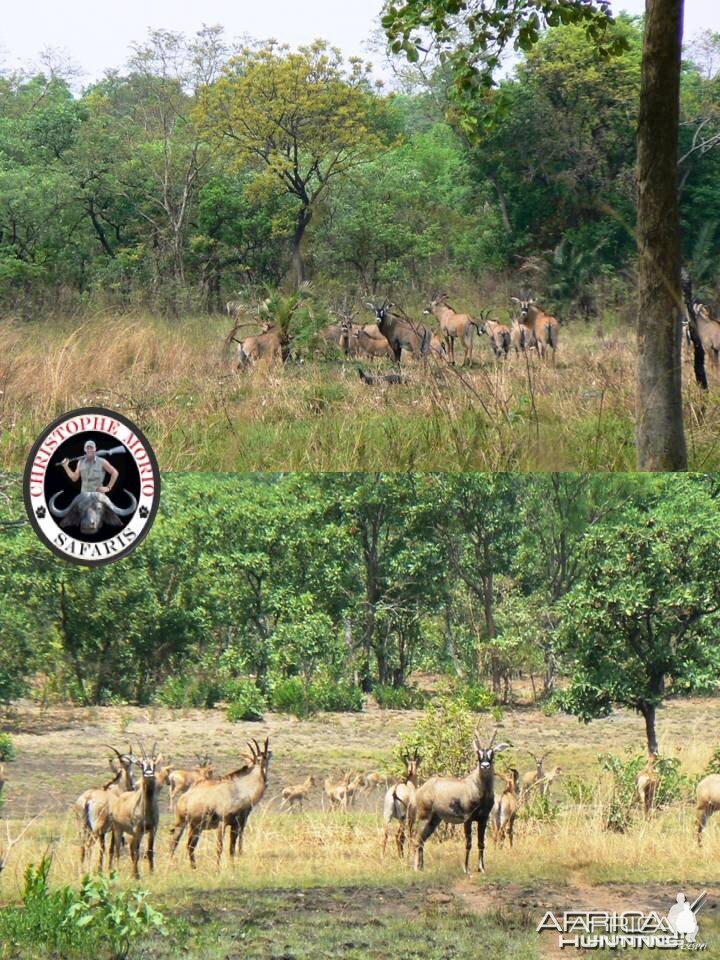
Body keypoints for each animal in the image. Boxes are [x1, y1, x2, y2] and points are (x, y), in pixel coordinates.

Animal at [108, 744, 162, 876]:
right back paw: (117, 870)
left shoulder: (153, 829)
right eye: (141, 764)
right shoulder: (137, 829)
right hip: (118, 829)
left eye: (154, 764)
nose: (148, 774)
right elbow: (136, 851)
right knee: (117, 849)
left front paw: (151, 872)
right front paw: (135, 875)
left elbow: (150, 850)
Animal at [404, 732, 512, 872]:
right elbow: (468, 843)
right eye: (478, 753)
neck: (477, 787)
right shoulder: (468, 819)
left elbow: (481, 843)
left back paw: (422, 867)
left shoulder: (483, 819)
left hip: (434, 820)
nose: (485, 766)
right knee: (416, 840)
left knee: (422, 840)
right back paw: (416, 869)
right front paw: (466, 869)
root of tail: (421, 789)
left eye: (491, 753)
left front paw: (481, 868)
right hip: (424, 817)